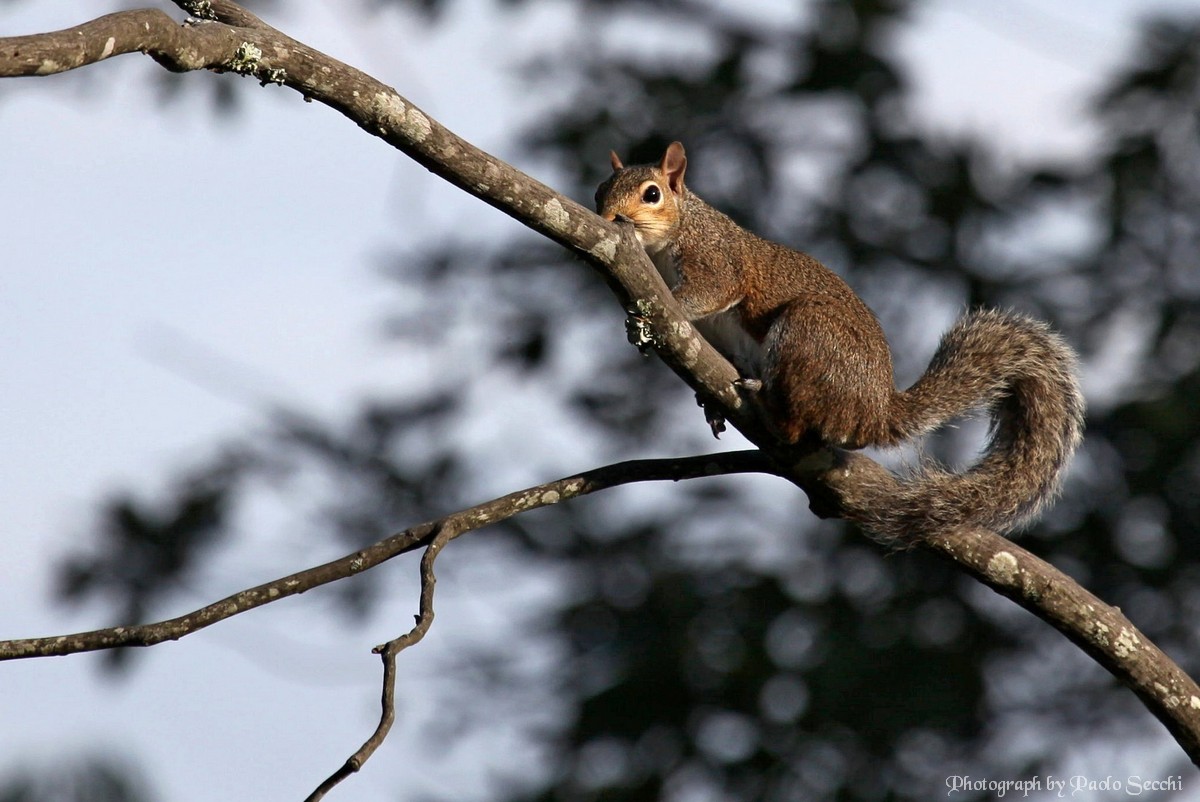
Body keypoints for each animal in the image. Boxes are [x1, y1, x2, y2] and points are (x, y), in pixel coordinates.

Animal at [595, 141, 1085, 541]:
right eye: (600, 191)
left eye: (652, 194)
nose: (608, 218)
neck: (669, 241)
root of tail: (876, 410)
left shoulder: (717, 259)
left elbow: (711, 290)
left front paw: (664, 310)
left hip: (808, 333)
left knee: (795, 426)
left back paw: (767, 403)